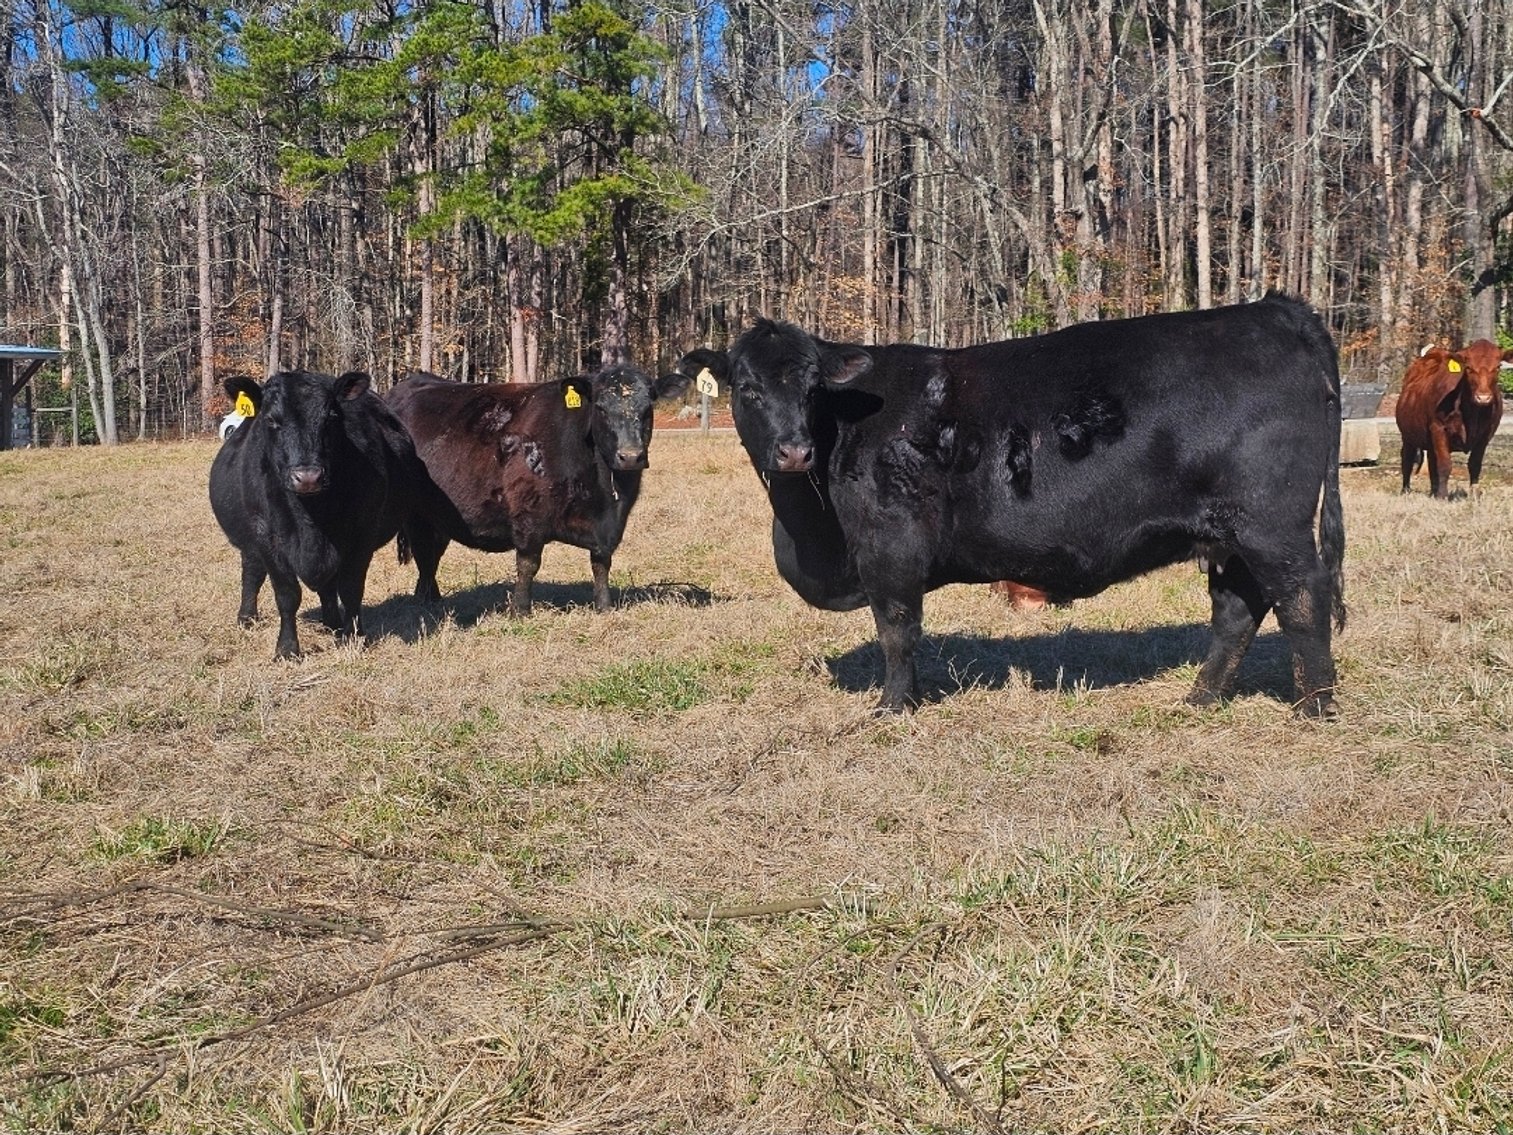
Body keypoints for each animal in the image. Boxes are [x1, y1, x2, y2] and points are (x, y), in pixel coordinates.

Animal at [208, 370, 420, 660]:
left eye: (331, 416)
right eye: (271, 420)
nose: (308, 477)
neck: (311, 518)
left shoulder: (363, 535)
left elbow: (351, 589)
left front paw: (353, 636)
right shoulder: (267, 538)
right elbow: (287, 594)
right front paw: (287, 648)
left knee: (328, 586)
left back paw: (332, 622)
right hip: (251, 540)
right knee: (252, 572)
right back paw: (247, 617)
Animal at [387, 364, 691, 614]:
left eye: (648, 408)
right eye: (601, 408)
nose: (630, 456)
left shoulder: (612, 525)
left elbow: (601, 563)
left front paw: (604, 606)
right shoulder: (528, 515)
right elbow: (528, 564)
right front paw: (520, 610)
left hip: (438, 517)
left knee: (432, 555)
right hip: (417, 516)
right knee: (425, 556)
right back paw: (426, 602)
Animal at [673, 293, 1346, 716]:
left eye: (813, 387)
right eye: (748, 389)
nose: (793, 451)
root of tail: (1275, 309)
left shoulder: (890, 545)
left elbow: (897, 630)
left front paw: (892, 708)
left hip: (1272, 526)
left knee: (1302, 598)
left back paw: (1313, 707)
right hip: (1226, 534)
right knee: (1237, 609)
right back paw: (1201, 697)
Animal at [1395, 339, 1507, 499]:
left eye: (1498, 367)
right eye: (1468, 367)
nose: (1483, 397)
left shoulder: (1485, 435)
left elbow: (1475, 464)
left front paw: (1474, 495)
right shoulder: (1439, 428)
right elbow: (1444, 464)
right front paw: (1443, 496)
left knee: (1431, 462)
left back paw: (1433, 492)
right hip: (1407, 435)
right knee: (1407, 460)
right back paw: (1406, 490)